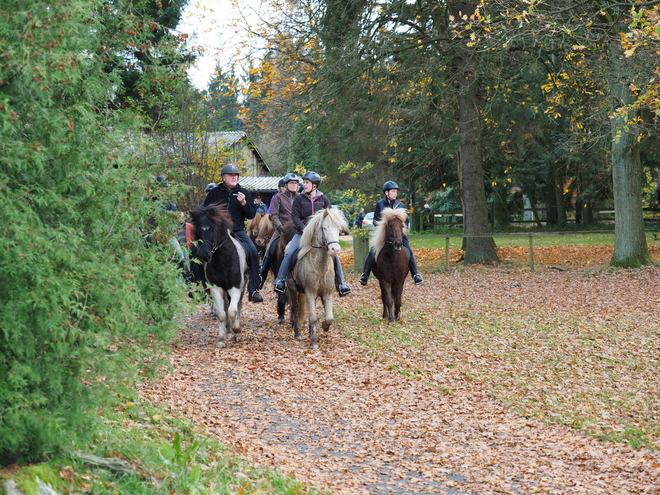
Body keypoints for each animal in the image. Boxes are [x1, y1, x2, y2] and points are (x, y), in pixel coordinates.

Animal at [189, 203, 249, 346]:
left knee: (237, 306)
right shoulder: (216, 289)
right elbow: (221, 313)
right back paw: (228, 331)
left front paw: (237, 331)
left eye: (212, 230)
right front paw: (222, 339)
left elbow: (233, 311)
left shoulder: (235, 288)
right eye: (197, 231)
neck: (222, 260)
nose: (204, 255)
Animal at [286, 208, 348, 348]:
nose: (335, 250)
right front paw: (313, 342)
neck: (320, 265)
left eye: (338, 229)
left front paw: (325, 327)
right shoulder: (310, 292)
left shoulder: (327, 293)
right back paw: (298, 334)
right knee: (295, 309)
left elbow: (329, 317)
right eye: (325, 228)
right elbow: (313, 317)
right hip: (292, 289)